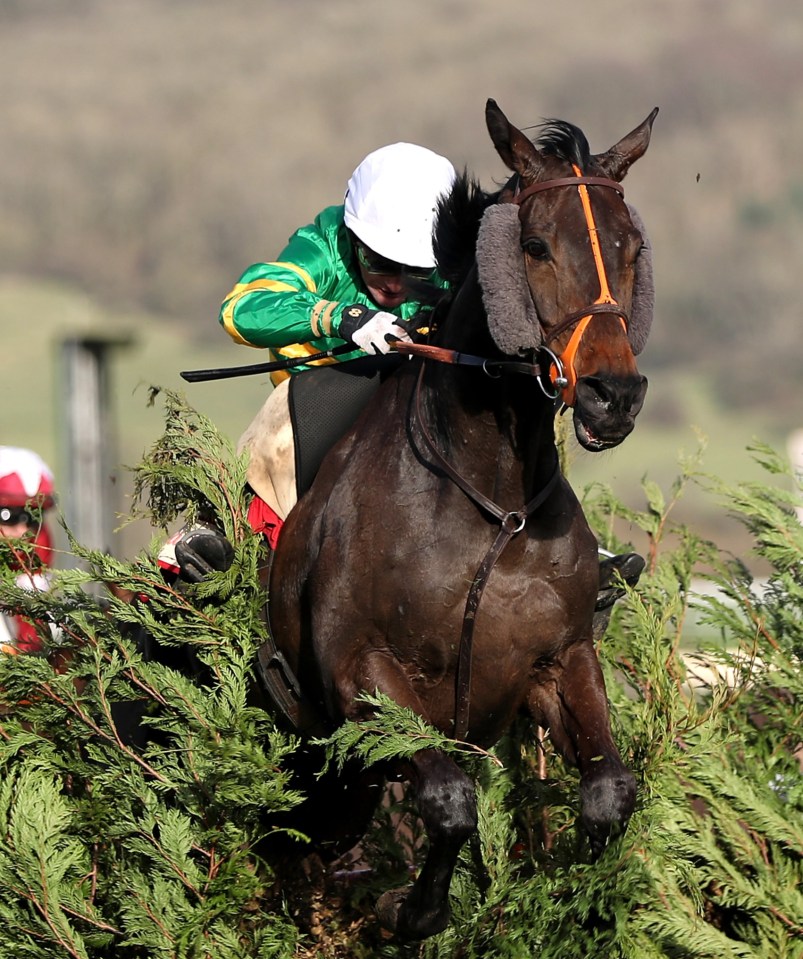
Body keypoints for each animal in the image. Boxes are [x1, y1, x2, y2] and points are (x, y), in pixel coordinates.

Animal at [264, 99, 660, 944]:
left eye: (631, 246)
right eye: (535, 246)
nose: (613, 395)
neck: (492, 503)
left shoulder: (557, 658)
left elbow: (609, 791)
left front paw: (578, 896)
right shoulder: (359, 670)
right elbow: (448, 800)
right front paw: (408, 905)